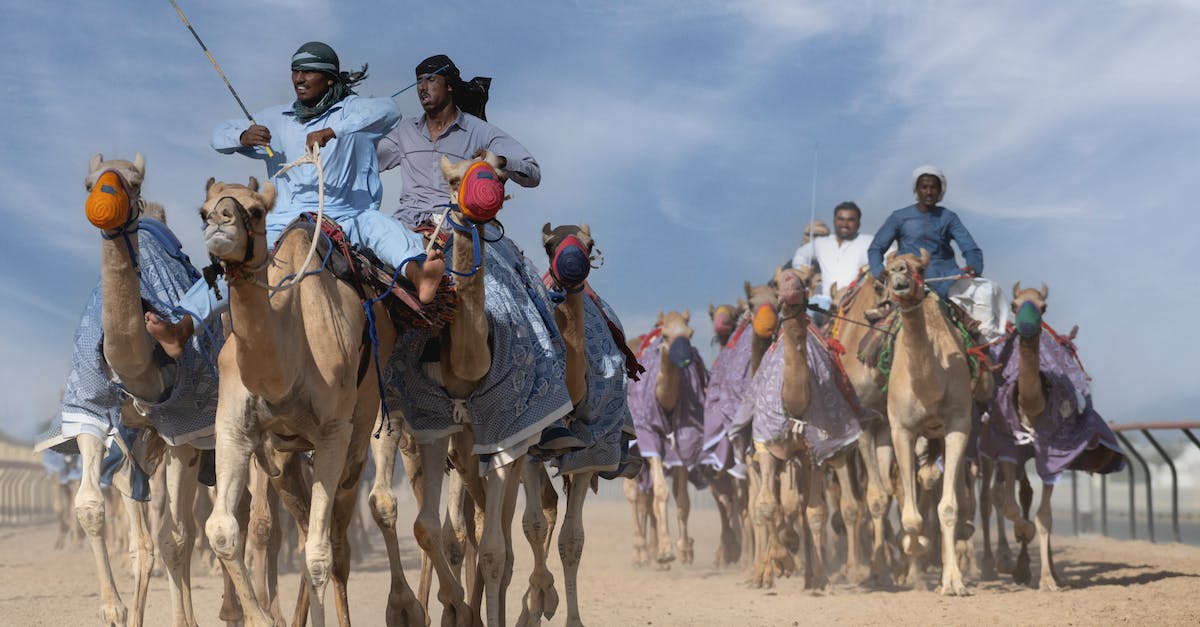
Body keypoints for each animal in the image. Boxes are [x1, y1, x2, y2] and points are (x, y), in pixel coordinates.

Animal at [197, 174, 396, 627]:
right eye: (203, 209)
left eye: (256, 211)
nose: (219, 221)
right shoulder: (234, 429)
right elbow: (222, 531)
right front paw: (259, 617)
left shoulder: (333, 434)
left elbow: (320, 556)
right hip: (284, 461)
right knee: (305, 528)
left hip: (358, 439)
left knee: (335, 542)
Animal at [879, 249, 972, 595]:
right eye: (887, 269)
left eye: (921, 268)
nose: (900, 276)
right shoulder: (901, 429)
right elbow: (910, 514)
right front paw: (915, 544)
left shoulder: (958, 424)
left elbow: (948, 508)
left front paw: (953, 582)